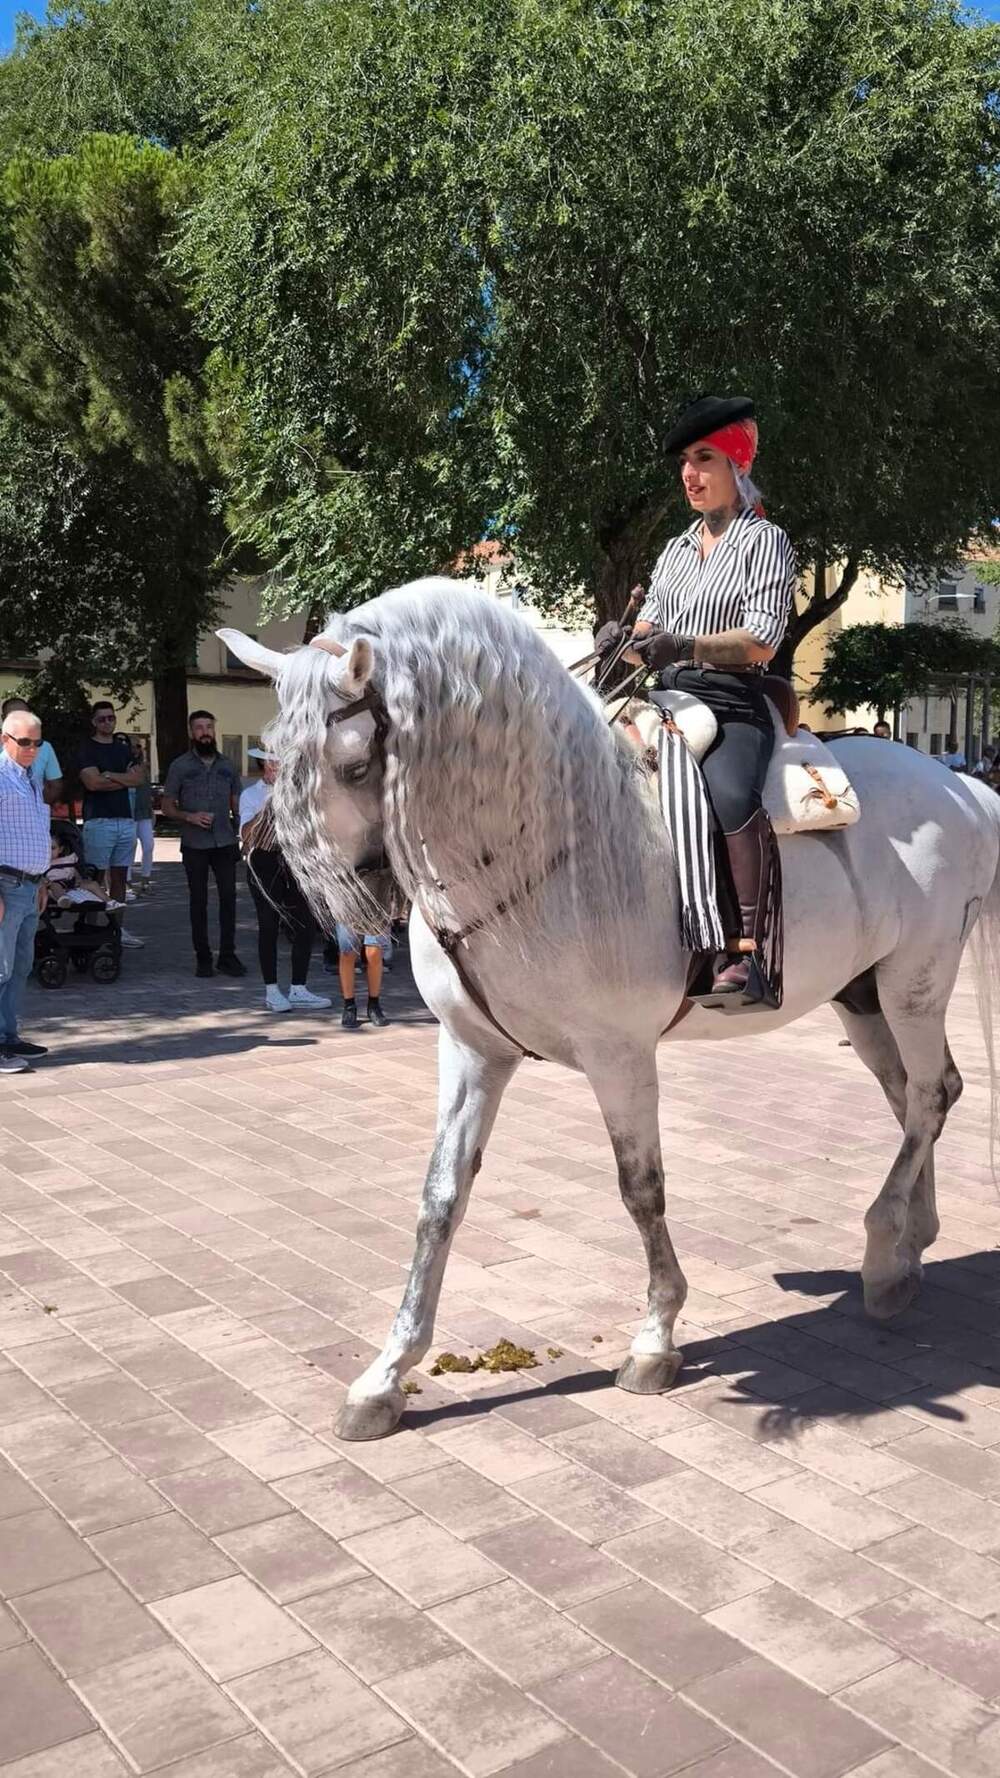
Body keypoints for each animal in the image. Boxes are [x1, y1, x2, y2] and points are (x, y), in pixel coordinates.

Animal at [221, 583, 996, 1443]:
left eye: (354, 764)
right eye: (273, 759)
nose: (315, 908)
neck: (548, 840)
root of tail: (963, 787)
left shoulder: (621, 1055)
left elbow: (640, 1188)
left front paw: (655, 1339)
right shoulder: (471, 1051)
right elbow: (439, 1198)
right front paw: (385, 1376)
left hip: (914, 984)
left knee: (929, 1094)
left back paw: (885, 1253)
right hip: (861, 997)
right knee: (913, 1098)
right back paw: (911, 1245)